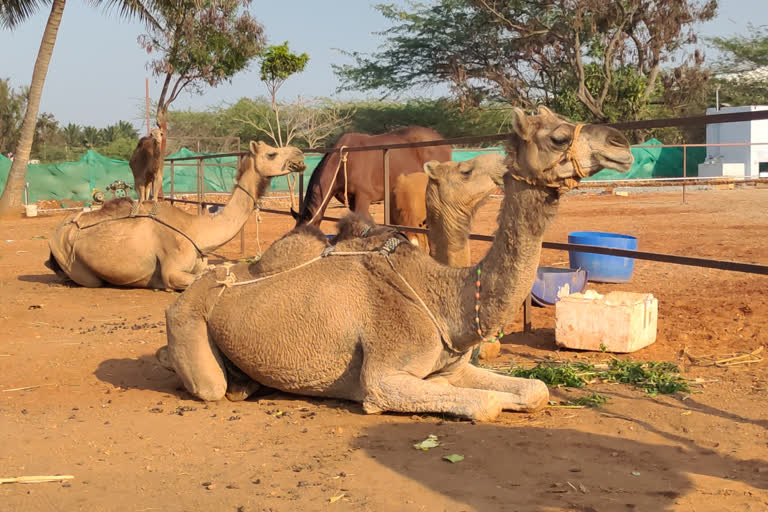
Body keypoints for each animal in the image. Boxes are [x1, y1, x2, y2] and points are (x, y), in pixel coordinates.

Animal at [45, 142, 306, 290]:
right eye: (272, 154)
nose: (300, 156)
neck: (198, 231)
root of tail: (57, 232)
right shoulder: (172, 270)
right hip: (72, 261)